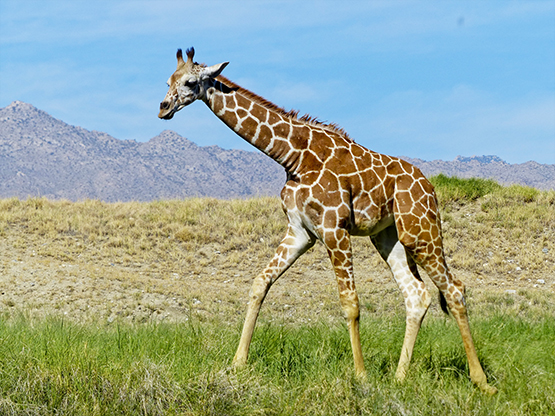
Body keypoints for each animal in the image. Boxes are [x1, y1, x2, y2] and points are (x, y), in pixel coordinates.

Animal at [159, 48, 498, 394]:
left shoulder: (334, 227)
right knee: (417, 294)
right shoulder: (300, 232)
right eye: (167, 81)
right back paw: (400, 377)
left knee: (454, 289)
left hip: (420, 230)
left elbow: (350, 303)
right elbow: (259, 283)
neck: (293, 157)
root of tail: (430, 187)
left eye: (189, 82)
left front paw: (360, 375)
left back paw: (482, 381)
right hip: (388, 236)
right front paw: (238, 362)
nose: (163, 108)